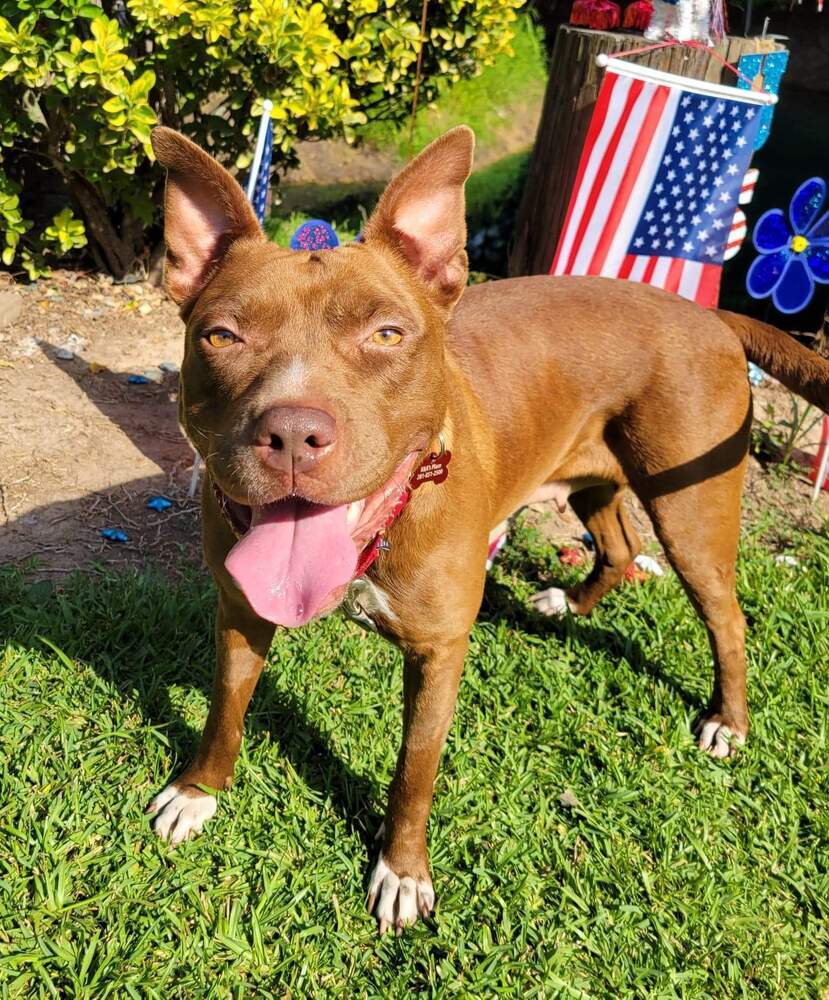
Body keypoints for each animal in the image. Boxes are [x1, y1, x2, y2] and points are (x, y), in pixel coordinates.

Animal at [146, 127, 828, 936]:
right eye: (223, 335)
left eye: (387, 333)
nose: (291, 433)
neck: (381, 532)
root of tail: (710, 315)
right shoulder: (240, 609)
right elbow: (225, 710)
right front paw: (197, 792)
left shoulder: (439, 652)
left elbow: (415, 768)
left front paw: (402, 873)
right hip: (593, 473)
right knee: (621, 547)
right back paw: (567, 603)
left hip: (689, 509)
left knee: (725, 616)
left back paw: (727, 720)